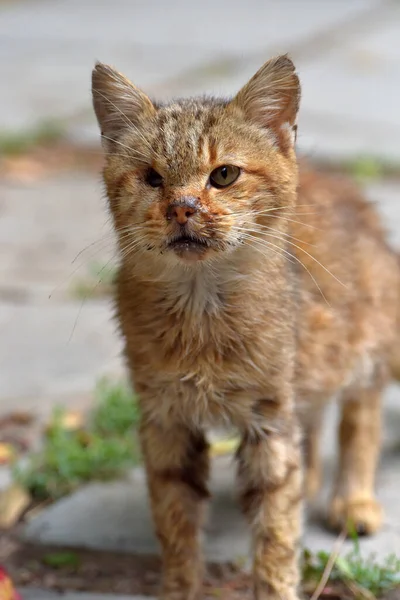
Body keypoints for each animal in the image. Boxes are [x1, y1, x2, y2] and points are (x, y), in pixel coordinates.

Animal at [91, 55, 400, 600]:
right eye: (151, 178)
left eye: (224, 174)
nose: (183, 208)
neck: (201, 313)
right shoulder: (165, 422)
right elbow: (175, 523)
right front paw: (181, 588)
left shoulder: (269, 420)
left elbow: (276, 529)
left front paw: (276, 586)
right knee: (317, 415)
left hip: (365, 344)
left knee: (360, 414)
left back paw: (353, 500)